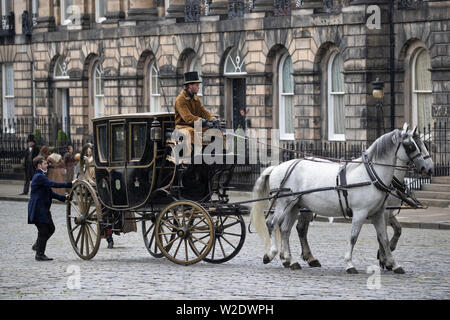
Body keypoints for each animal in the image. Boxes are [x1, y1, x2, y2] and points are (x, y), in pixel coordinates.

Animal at [251, 124, 428, 274]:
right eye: (411, 146)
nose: (427, 167)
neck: (371, 174)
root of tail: (277, 167)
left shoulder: (378, 213)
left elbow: (383, 238)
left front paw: (393, 263)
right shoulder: (360, 213)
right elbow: (353, 237)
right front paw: (349, 263)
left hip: (294, 206)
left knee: (286, 230)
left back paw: (291, 260)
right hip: (284, 204)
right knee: (272, 224)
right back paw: (272, 254)